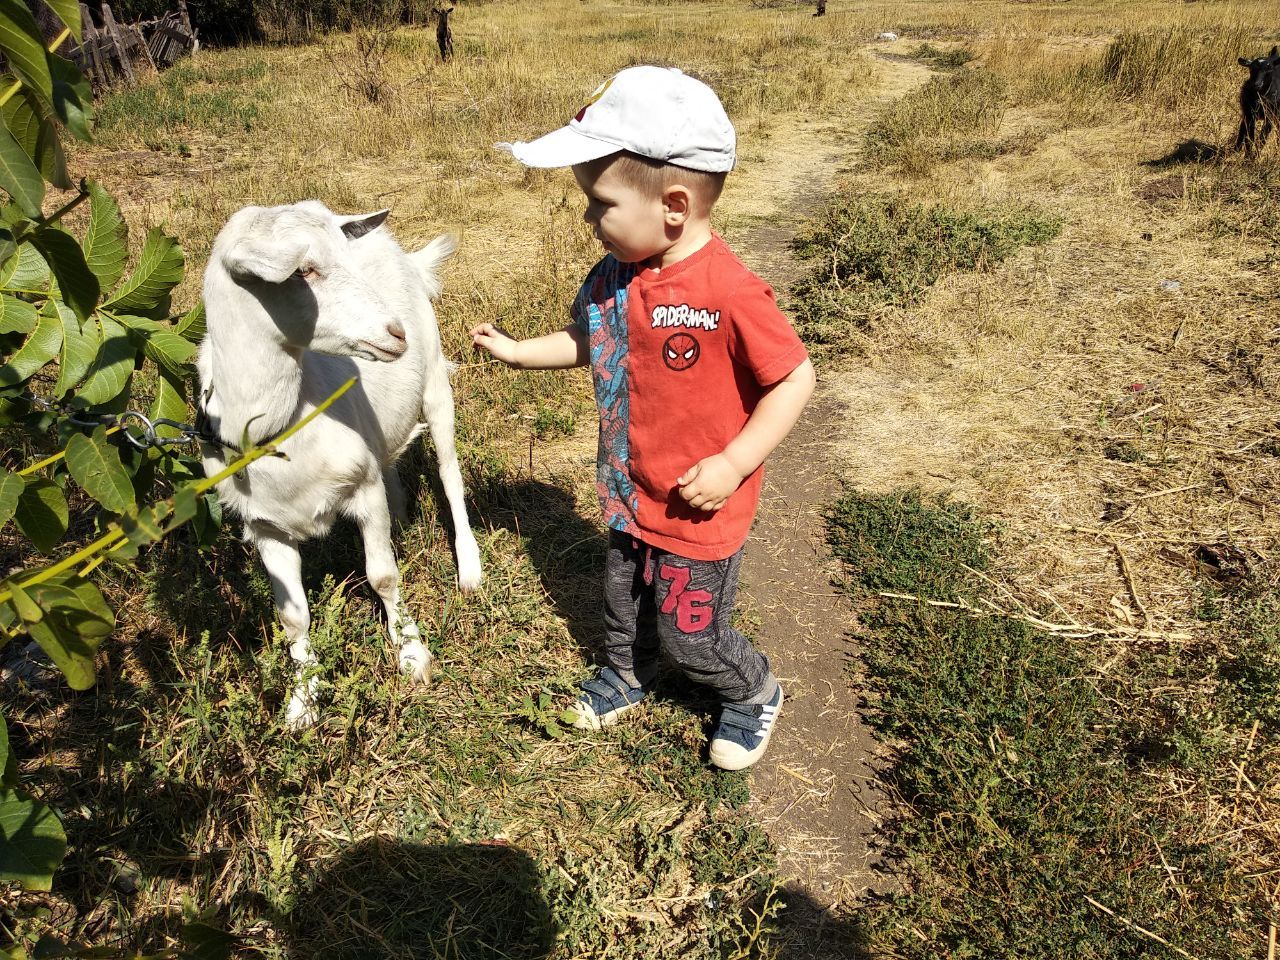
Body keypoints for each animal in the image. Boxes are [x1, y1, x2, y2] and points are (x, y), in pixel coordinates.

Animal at [197, 203, 481, 727]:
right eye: (303, 270)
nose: (395, 333)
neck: (285, 423)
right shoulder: (265, 526)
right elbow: (292, 616)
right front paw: (302, 702)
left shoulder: (362, 489)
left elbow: (383, 575)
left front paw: (412, 654)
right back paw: (402, 515)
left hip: (435, 381)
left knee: (450, 475)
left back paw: (469, 567)